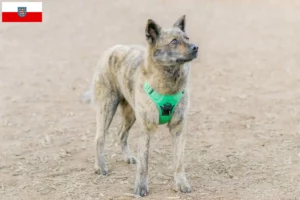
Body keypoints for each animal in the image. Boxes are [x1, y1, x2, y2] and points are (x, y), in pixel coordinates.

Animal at [83, 15, 198, 197]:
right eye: (174, 41)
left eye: (187, 38)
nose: (196, 47)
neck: (168, 83)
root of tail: (110, 50)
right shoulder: (147, 130)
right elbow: (144, 164)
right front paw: (141, 187)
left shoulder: (178, 129)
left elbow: (179, 161)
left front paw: (181, 183)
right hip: (107, 108)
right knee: (99, 138)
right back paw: (100, 166)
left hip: (131, 114)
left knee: (121, 134)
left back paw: (127, 157)